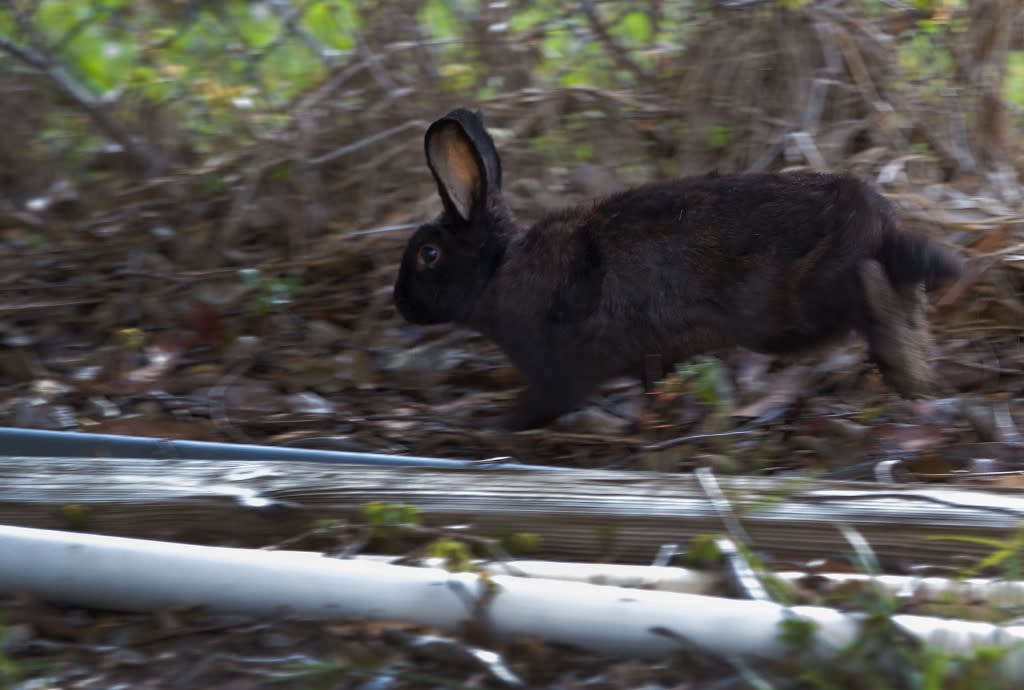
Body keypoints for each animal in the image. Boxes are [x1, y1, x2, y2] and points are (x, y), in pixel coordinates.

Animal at [389, 108, 958, 427]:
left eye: (428, 254)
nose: (399, 304)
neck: (499, 270)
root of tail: (879, 223)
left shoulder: (559, 368)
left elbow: (543, 403)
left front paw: (495, 426)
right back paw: (921, 388)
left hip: (795, 307)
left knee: (870, 298)